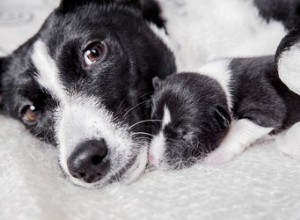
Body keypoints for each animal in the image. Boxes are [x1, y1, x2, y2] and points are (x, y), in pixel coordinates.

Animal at [150, 29, 300, 169]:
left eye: (185, 134)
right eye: (154, 123)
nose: (152, 159)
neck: (220, 84)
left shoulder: (265, 101)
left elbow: (239, 127)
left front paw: (216, 154)